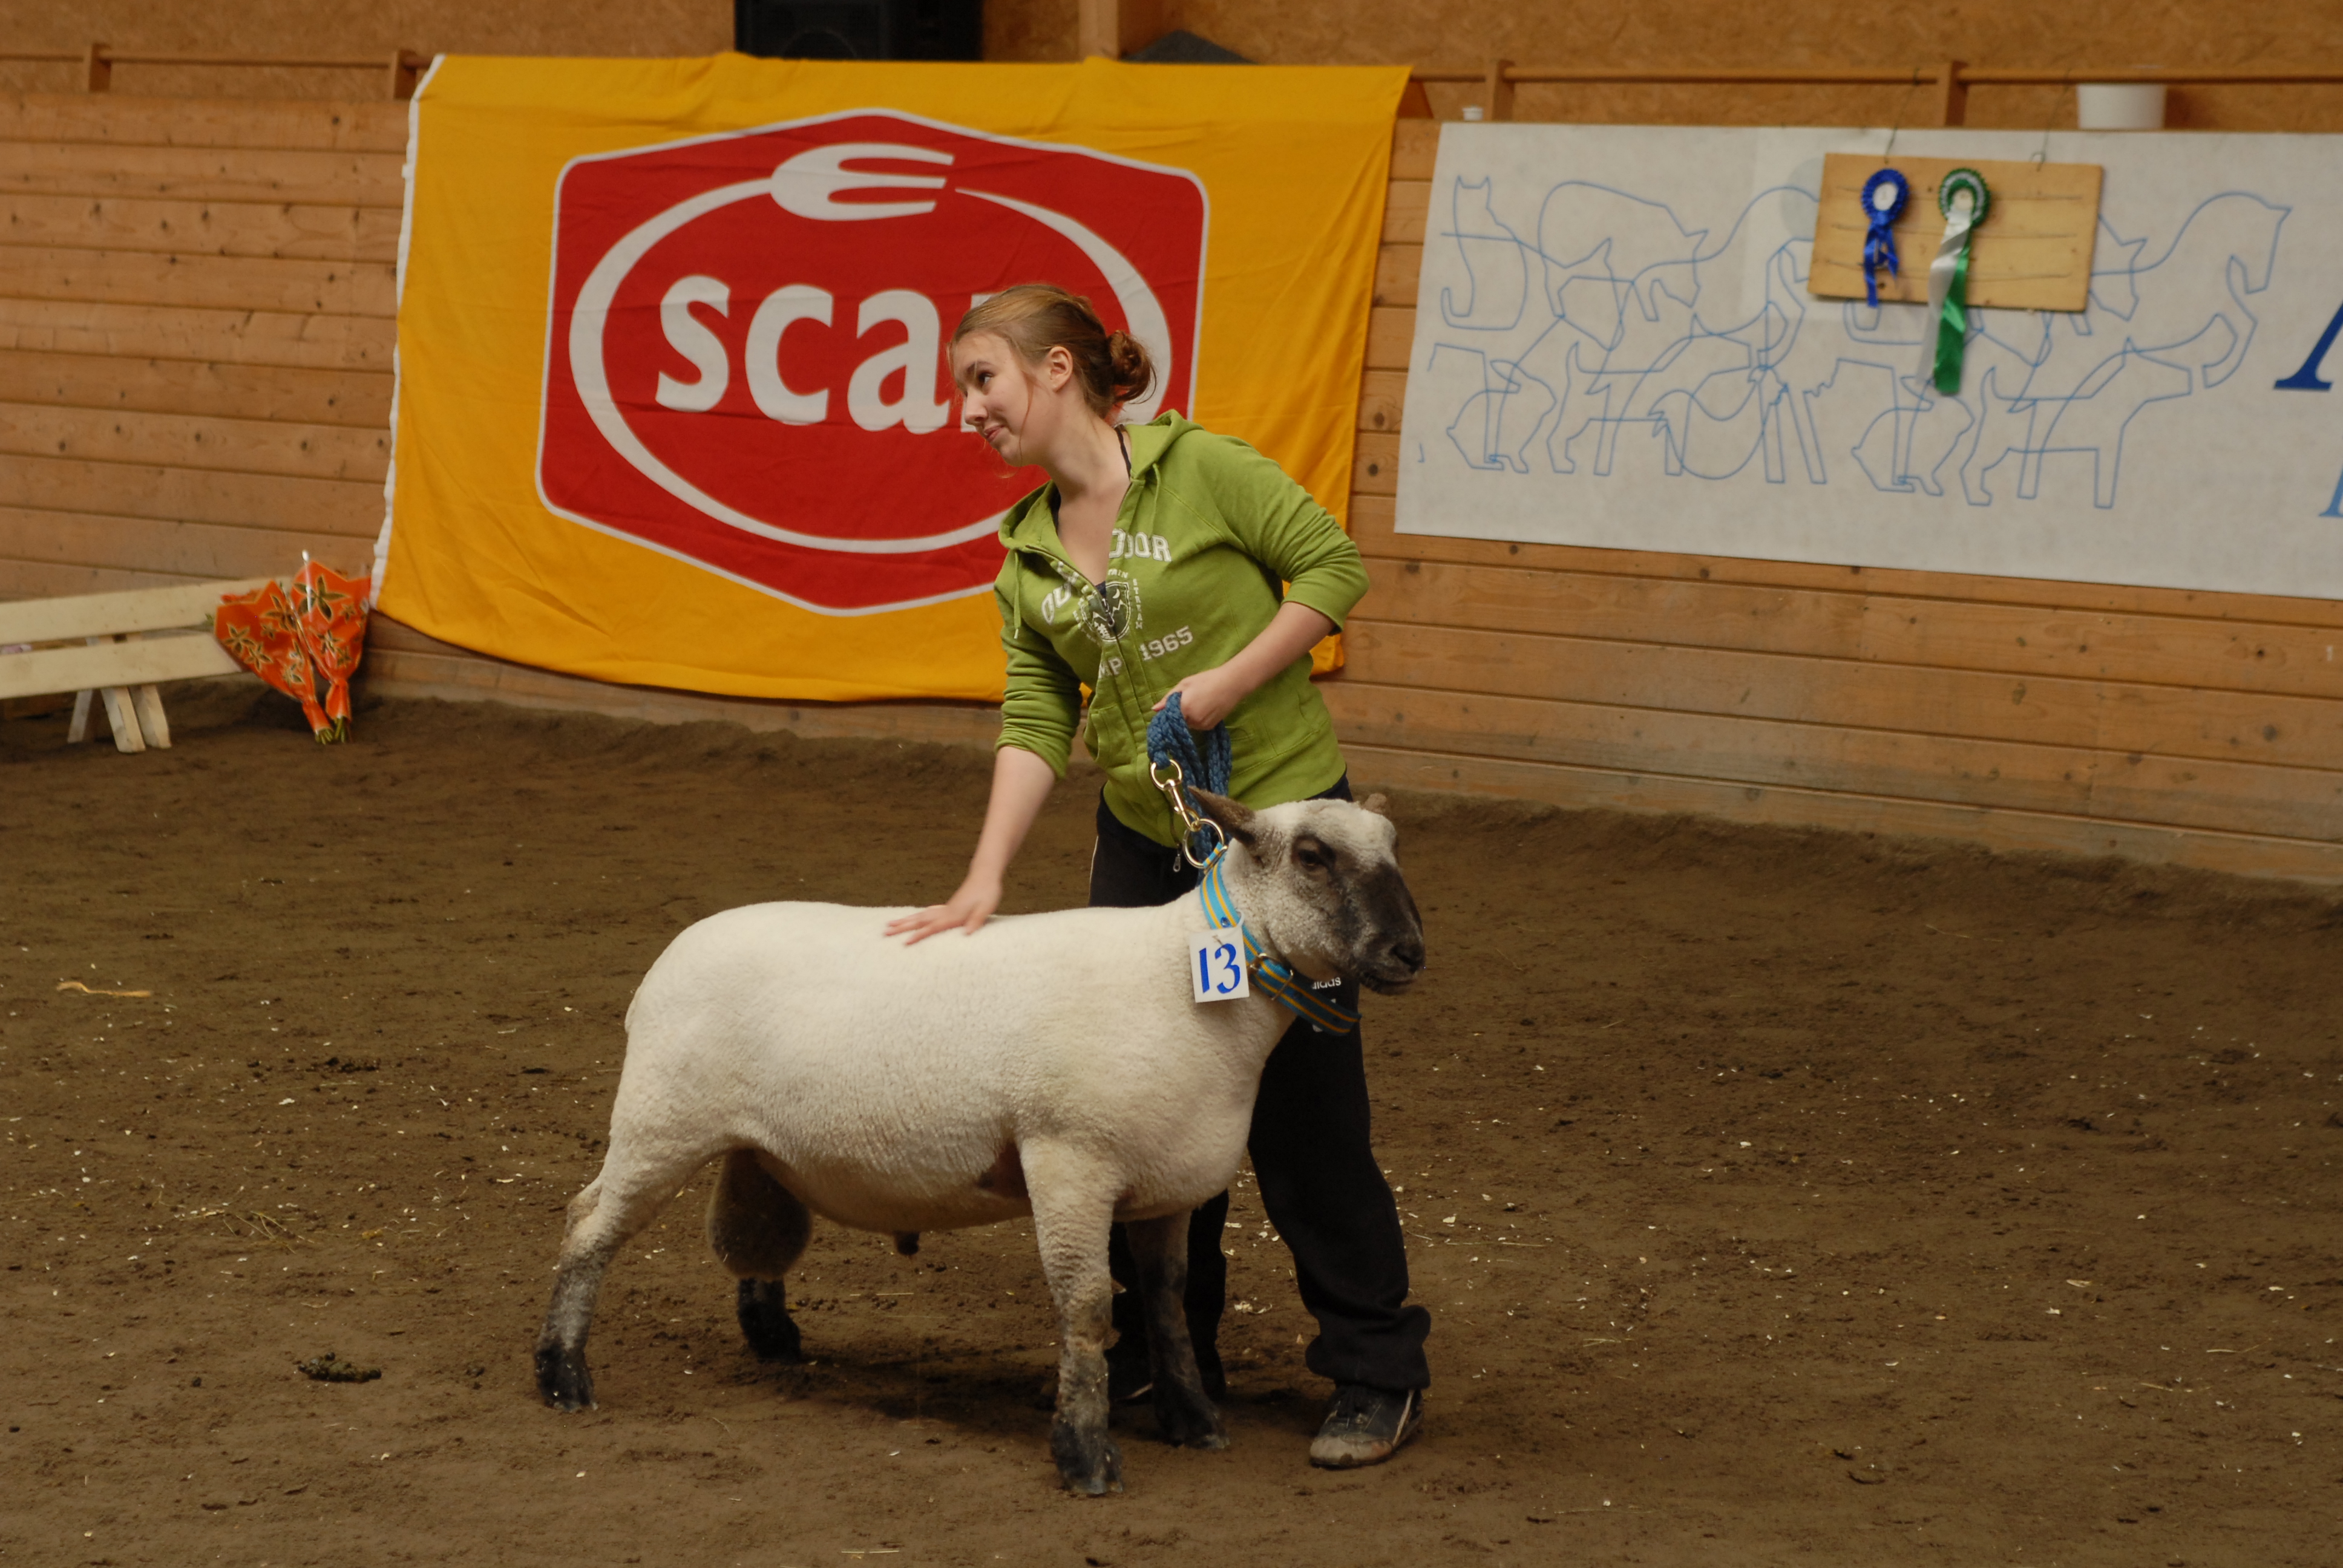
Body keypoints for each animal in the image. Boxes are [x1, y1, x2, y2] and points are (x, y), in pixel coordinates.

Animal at [534, 788, 1426, 1494]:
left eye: (1394, 851)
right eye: (1311, 856)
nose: (1409, 952)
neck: (1188, 981)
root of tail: (674, 953)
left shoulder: (1164, 1187)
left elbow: (1168, 1303)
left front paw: (1194, 1419)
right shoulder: (1068, 1159)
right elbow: (1085, 1306)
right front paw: (1085, 1455)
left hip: (757, 1150)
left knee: (754, 1243)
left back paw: (774, 1339)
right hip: (661, 1118)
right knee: (588, 1225)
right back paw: (562, 1374)